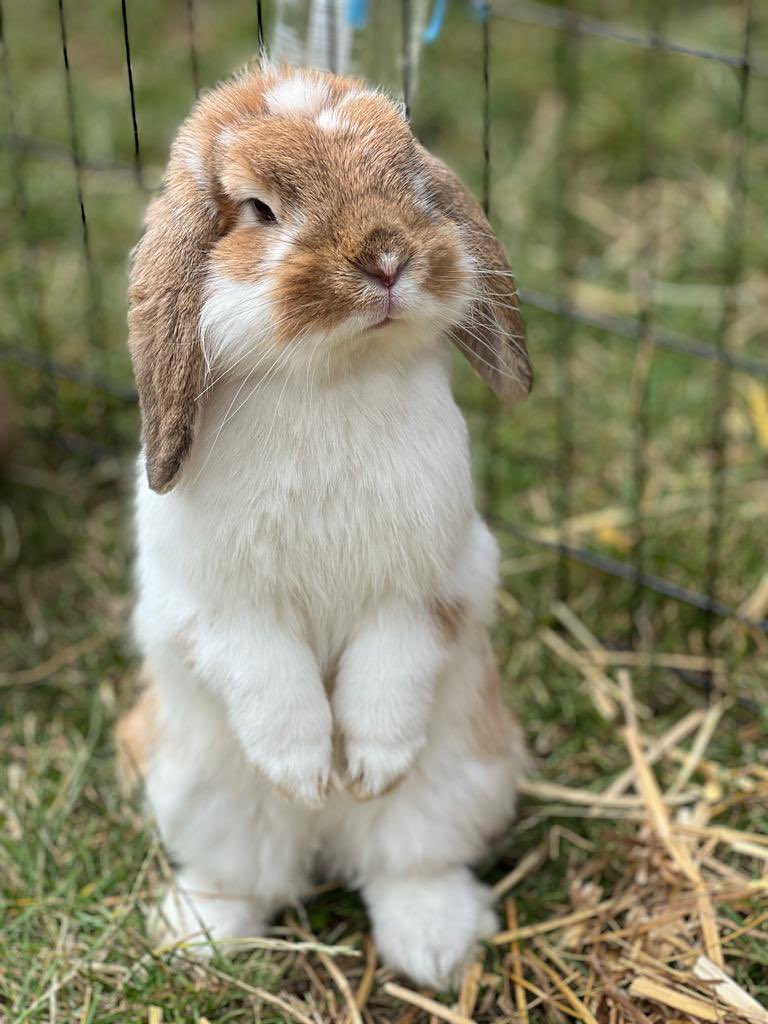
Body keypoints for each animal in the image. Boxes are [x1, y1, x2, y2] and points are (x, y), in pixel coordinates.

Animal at [118, 64, 532, 991]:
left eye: (411, 179)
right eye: (258, 210)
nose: (384, 257)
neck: (329, 379)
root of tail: (327, 847)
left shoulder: (432, 584)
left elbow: (389, 672)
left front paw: (365, 766)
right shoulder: (219, 607)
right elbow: (271, 680)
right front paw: (308, 771)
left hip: (460, 779)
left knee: (406, 863)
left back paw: (435, 946)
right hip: (201, 797)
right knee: (247, 876)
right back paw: (201, 933)